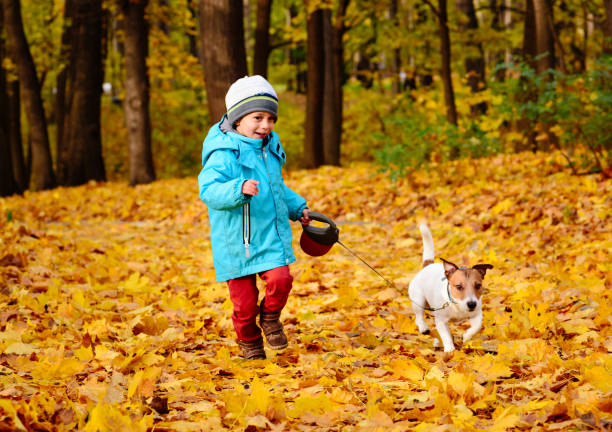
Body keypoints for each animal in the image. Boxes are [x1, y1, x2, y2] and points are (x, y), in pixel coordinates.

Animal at [408, 224, 494, 352]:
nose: (472, 304)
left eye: (478, 285)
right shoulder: (441, 321)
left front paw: (466, 336)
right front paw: (450, 350)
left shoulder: (477, 314)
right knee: (419, 316)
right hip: (418, 300)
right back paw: (423, 328)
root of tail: (427, 266)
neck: (457, 306)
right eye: (459, 286)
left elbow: (477, 327)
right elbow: (445, 336)